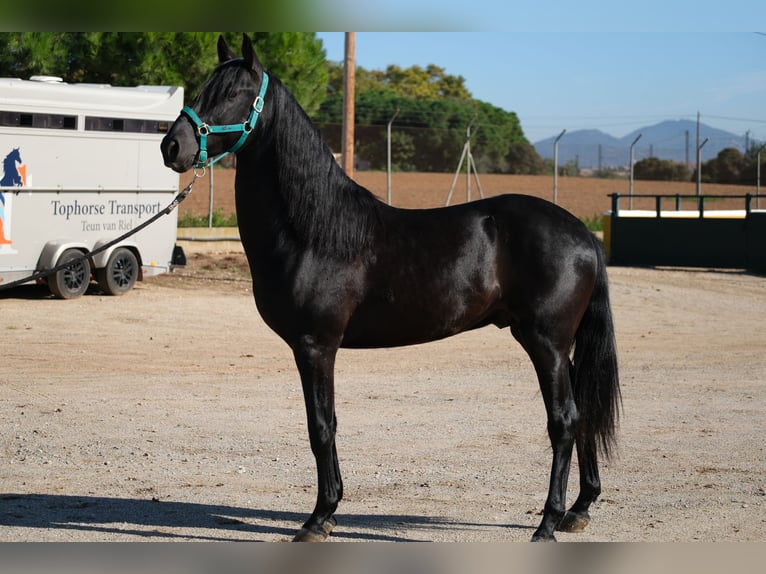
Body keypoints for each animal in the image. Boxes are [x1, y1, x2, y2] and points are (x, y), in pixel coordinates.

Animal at [159, 36, 620, 544]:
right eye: (203, 88)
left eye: (234, 93)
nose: (172, 145)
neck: (313, 230)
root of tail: (583, 234)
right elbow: (327, 425)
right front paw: (330, 512)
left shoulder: (315, 346)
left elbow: (321, 426)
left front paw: (319, 517)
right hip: (558, 345)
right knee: (584, 412)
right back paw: (580, 508)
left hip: (546, 343)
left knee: (564, 421)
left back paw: (548, 523)